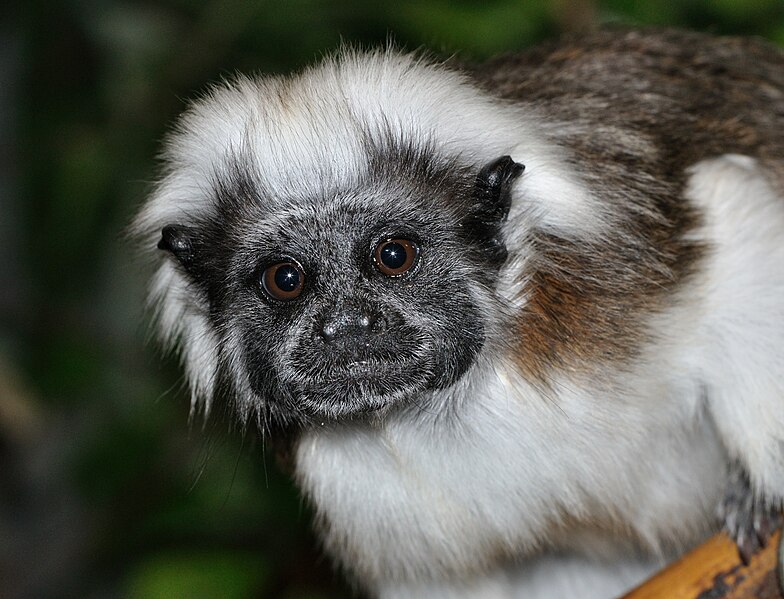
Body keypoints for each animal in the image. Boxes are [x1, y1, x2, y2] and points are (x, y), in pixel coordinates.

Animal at [136, 29, 784, 599]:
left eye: (394, 255)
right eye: (286, 280)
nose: (347, 327)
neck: (452, 409)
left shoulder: (626, 278)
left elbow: (733, 210)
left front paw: (763, 491)